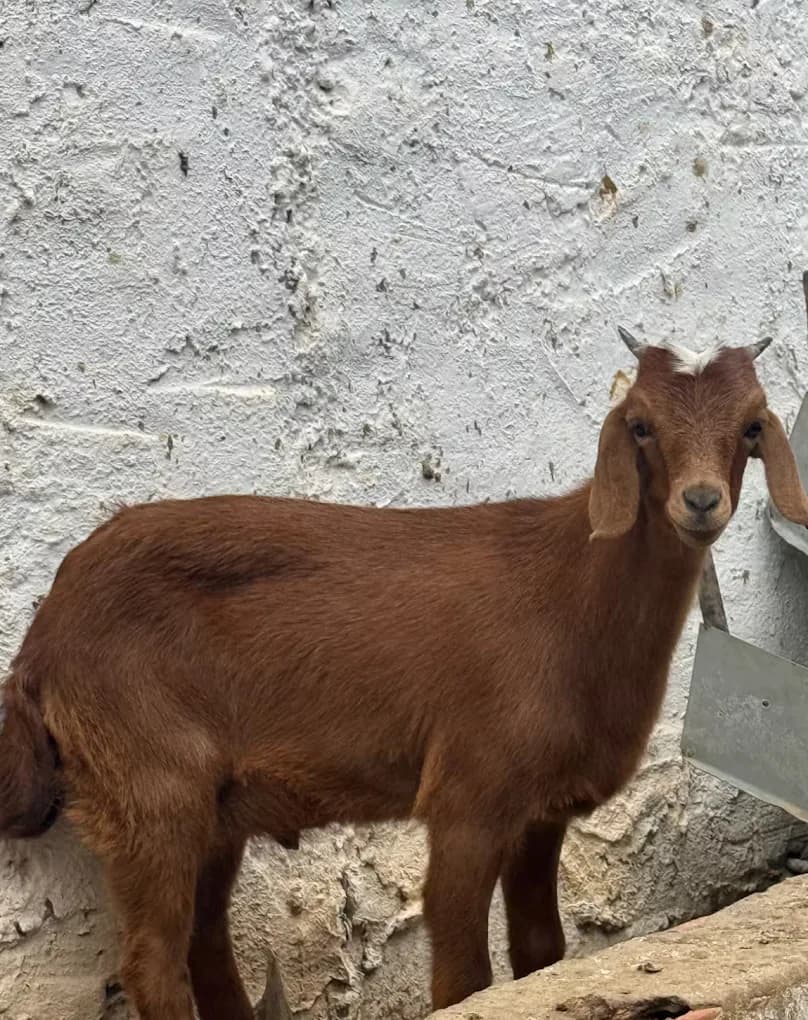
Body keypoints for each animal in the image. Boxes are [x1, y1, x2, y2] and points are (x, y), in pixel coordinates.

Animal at [1, 333, 807, 1020]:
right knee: (153, 961)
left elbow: (542, 956)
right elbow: (464, 974)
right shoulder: (469, 794)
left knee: (204, 940)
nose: (699, 502)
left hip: (212, 805)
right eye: (640, 425)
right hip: (149, 785)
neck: (569, 593)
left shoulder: (543, 807)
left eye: (751, 426)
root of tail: (43, 636)